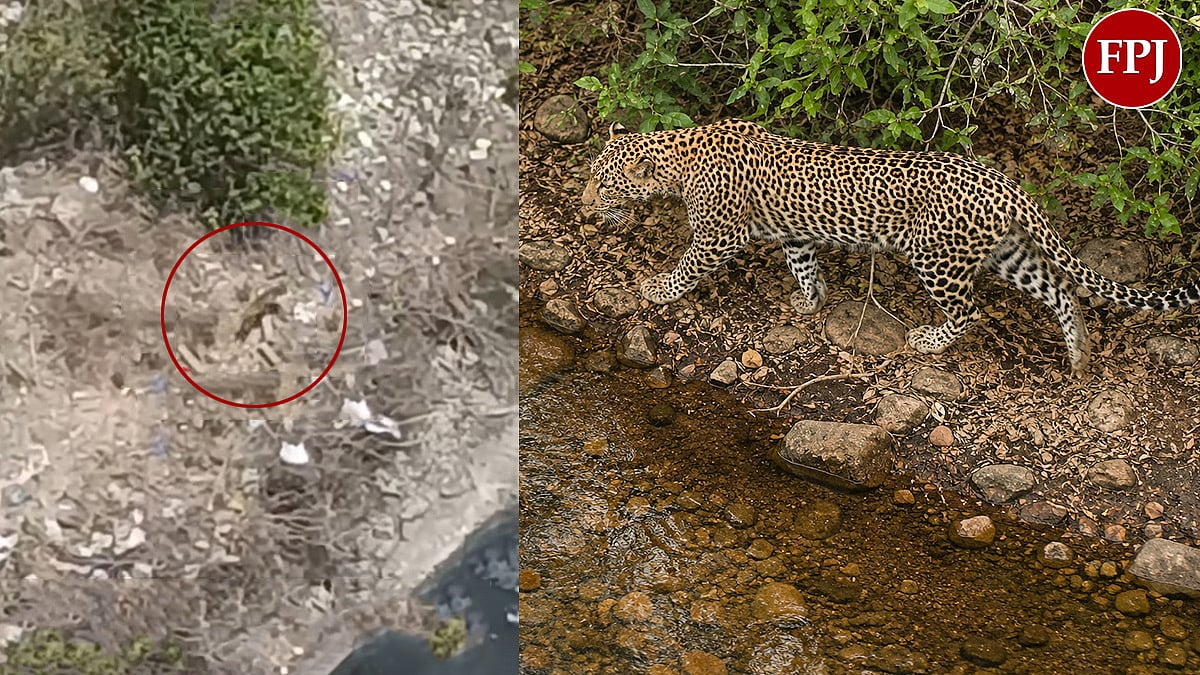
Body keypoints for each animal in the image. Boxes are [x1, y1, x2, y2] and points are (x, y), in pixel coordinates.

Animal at [580, 118, 1200, 374]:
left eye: (604, 185)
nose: (583, 206)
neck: (677, 159)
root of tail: (1001, 180)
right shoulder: (796, 231)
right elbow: (803, 264)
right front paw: (809, 302)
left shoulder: (718, 234)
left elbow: (688, 263)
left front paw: (656, 288)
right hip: (1006, 253)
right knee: (1059, 292)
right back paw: (1079, 356)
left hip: (937, 257)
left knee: (971, 310)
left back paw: (928, 340)